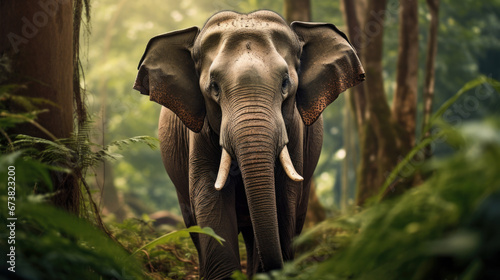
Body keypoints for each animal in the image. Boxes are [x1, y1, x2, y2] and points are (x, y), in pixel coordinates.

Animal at [135, 9, 366, 278]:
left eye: (285, 83)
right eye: (214, 87)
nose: (276, 268)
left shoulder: (294, 131)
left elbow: (283, 195)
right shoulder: (200, 132)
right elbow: (208, 192)